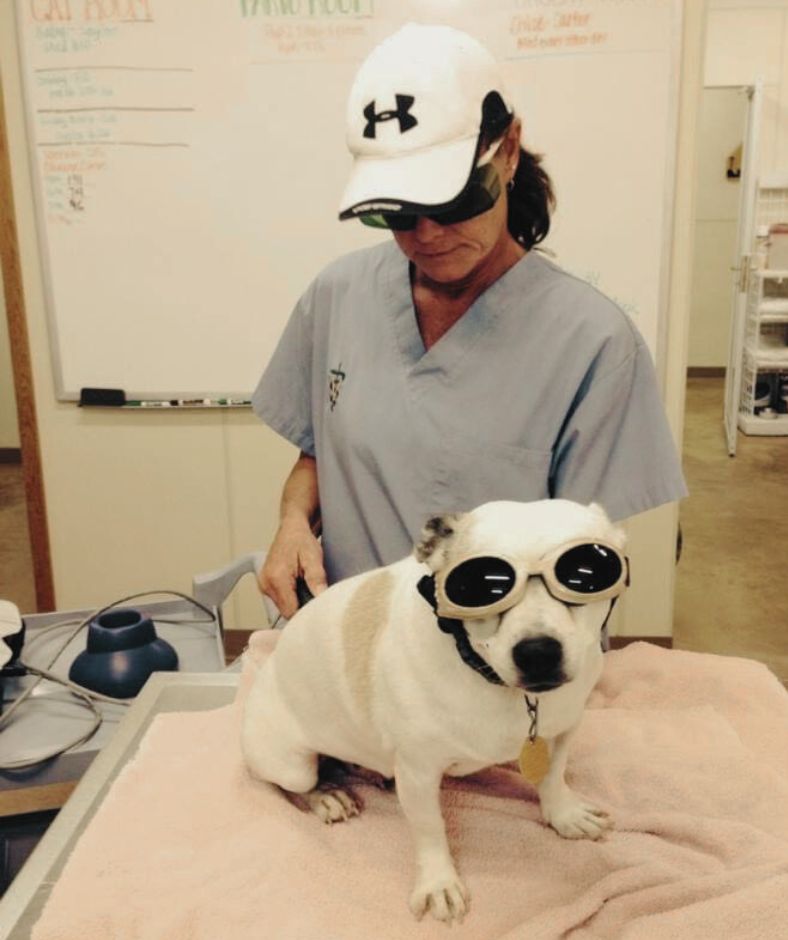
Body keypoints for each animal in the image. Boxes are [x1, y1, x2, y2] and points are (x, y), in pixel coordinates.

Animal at [240, 504, 628, 920]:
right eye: (477, 586)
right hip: (291, 765)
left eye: (586, 574)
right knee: (296, 785)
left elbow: (554, 776)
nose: (537, 652)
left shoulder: (563, 730)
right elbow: (430, 828)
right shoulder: (418, 773)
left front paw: (564, 814)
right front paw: (438, 882)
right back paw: (328, 795)